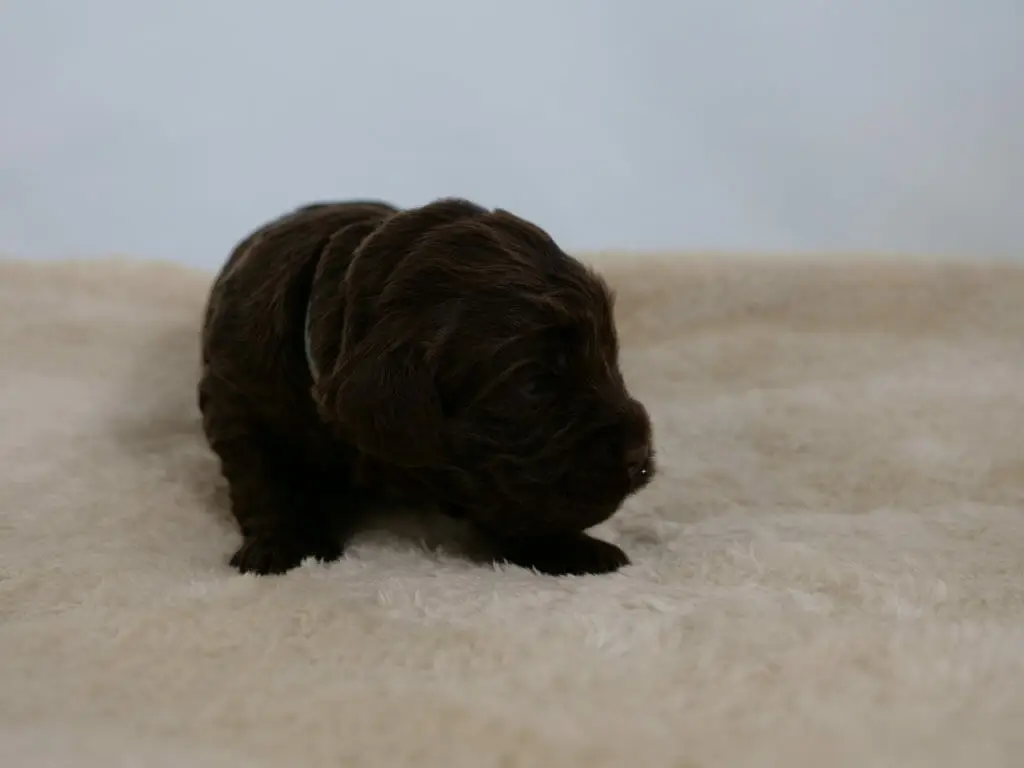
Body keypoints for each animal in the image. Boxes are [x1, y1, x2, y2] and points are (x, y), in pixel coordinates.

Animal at [199, 198, 655, 577]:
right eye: (535, 384)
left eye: (609, 358)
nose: (639, 457)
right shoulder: (237, 398)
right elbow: (267, 477)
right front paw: (284, 547)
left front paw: (570, 549)